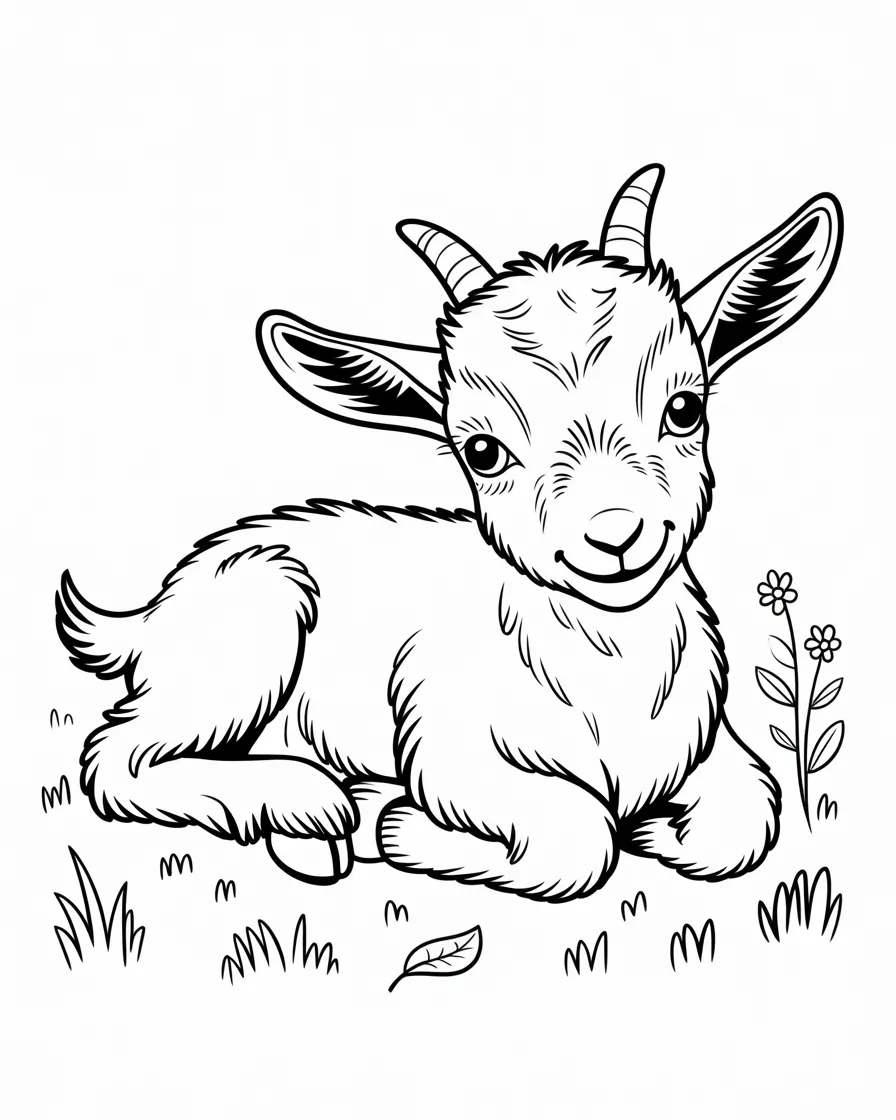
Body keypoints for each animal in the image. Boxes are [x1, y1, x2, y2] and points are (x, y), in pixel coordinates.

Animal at [57, 166, 842, 901]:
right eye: (482, 451)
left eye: (685, 407)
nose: (616, 537)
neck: (605, 675)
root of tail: (151, 616)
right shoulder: (450, 750)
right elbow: (581, 836)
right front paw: (396, 825)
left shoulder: (710, 745)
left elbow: (745, 819)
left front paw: (658, 830)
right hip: (251, 625)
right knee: (117, 759)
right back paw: (309, 804)